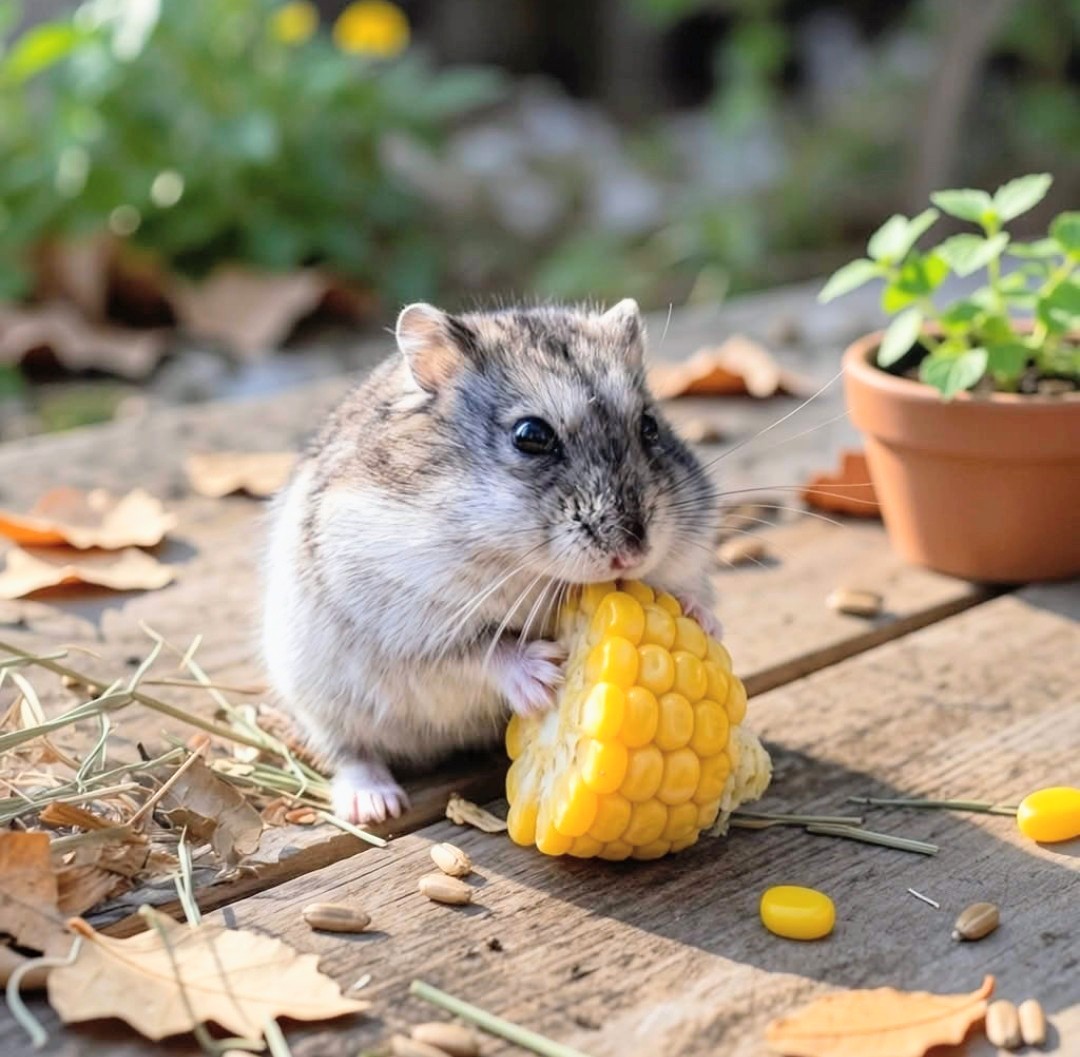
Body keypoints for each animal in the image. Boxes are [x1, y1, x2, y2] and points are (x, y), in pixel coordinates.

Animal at [261, 300, 720, 825]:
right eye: (531, 436)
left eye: (649, 425)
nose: (633, 554)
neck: (532, 570)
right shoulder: (413, 628)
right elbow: (481, 649)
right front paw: (543, 675)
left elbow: (690, 589)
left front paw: (702, 619)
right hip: (318, 695)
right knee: (350, 752)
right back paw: (375, 806)